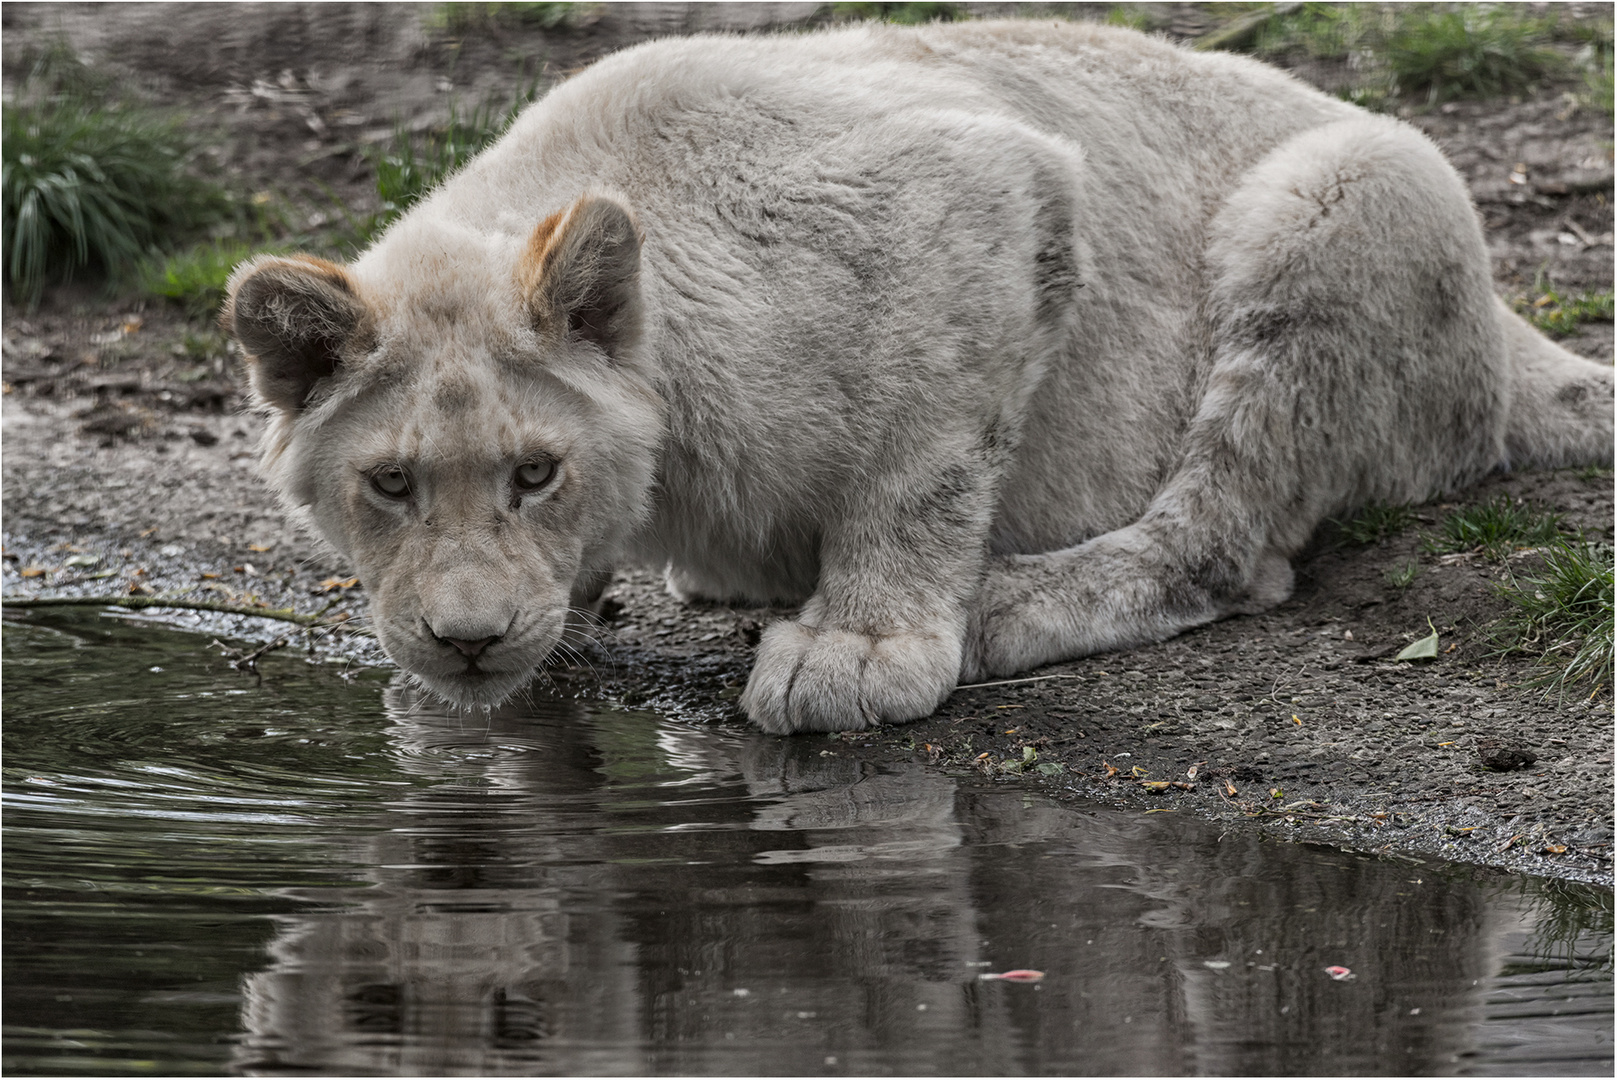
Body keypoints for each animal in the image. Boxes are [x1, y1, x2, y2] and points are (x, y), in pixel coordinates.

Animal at [224, 21, 1604, 734]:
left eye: (534, 471)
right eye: (390, 484)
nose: (467, 643)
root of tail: (1511, 330)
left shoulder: (980, 192)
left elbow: (923, 462)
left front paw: (856, 651)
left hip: (1345, 195)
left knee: (1228, 539)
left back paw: (1007, 601)